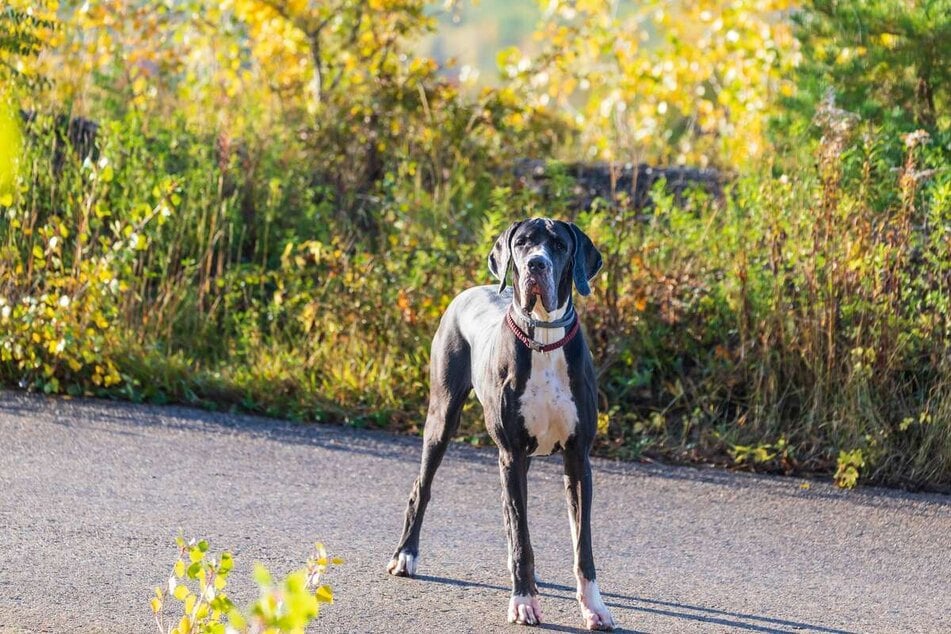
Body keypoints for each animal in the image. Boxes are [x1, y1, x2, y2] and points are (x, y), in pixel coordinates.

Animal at [388, 216, 616, 628]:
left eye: (559, 245)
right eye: (522, 243)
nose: (535, 265)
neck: (544, 336)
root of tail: (469, 291)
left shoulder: (577, 458)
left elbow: (582, 544)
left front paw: (594, 608)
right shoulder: (510, 452)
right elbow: (522, 538)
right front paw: (523, 601)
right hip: (443, 417)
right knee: (422, 489)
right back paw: (405, 555)